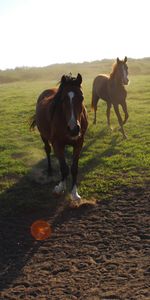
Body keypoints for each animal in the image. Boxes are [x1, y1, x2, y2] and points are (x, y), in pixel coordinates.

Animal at [30, 72, 88, 202]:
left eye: (81, 97)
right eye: (63, 99)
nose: (73, 129)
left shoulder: (79, 143)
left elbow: (74, 168)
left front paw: (74, 193)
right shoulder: (57, 143)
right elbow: (64, 168)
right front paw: (60, 187)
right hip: (44, 136)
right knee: (47, 150)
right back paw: (50, 171)